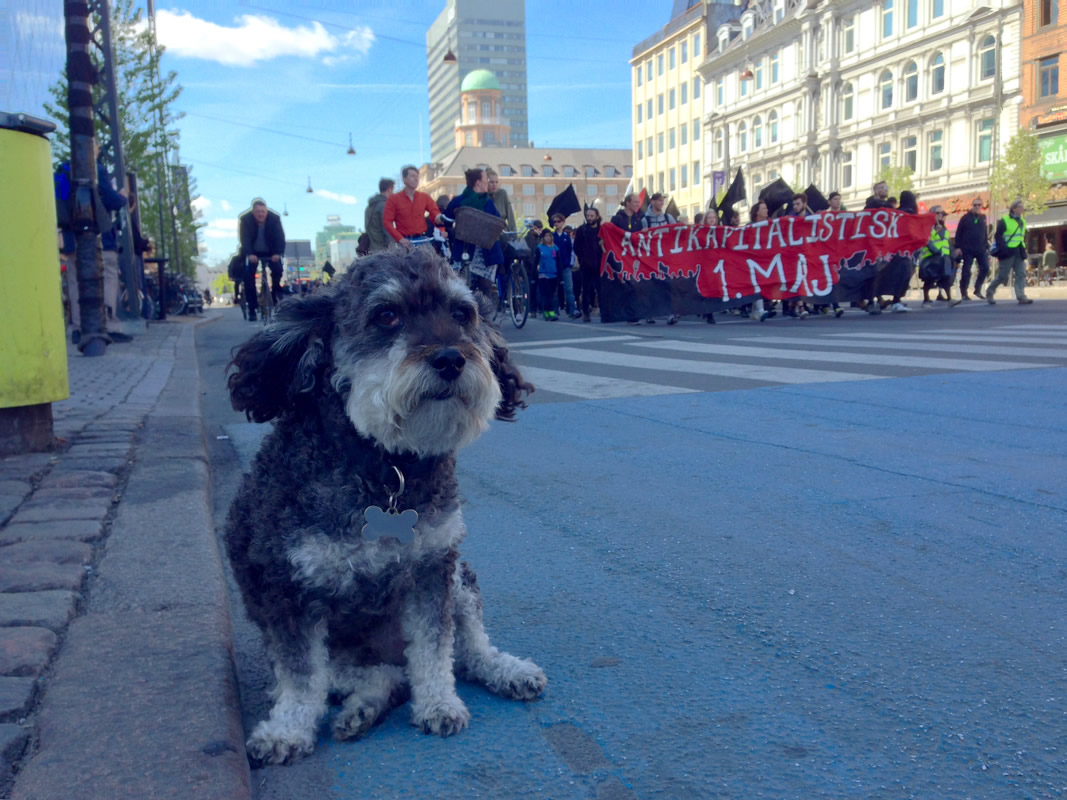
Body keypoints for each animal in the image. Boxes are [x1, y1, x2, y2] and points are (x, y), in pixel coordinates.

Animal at [225, 247, 546, 766]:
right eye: (387, 315)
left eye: (463, 314)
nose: (451, 358)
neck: (385, 467)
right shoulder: (289, 592)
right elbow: (301, 678)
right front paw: (288, 730)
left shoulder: (434, 567)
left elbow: (435, 650)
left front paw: (439, 703)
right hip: (339, 655)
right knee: (380, 677)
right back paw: (360, 710)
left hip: (461, 579)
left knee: (466, 651)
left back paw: (505, 670)